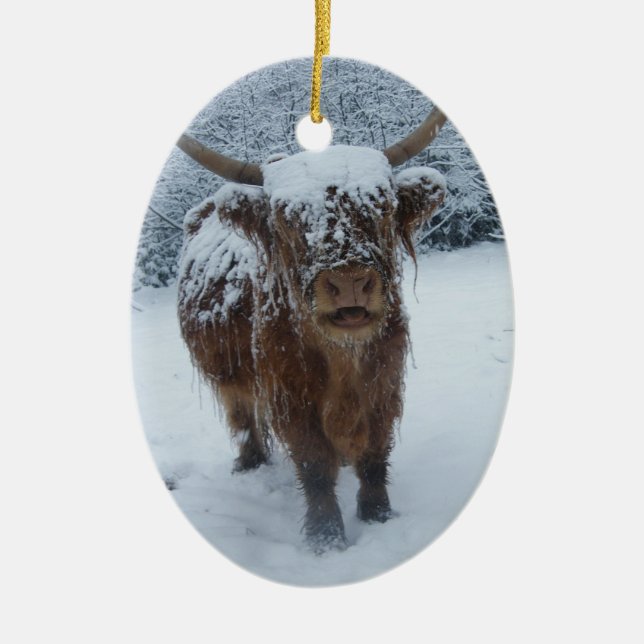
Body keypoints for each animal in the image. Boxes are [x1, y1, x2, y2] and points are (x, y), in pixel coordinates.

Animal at [176, 108, 447, 553]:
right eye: (287, 218)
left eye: (384, 206)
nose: (350, 281)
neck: (342, 357)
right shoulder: (290, 394)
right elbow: (314, 462)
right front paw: (326, 537)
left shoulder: (385, 380)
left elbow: (375, 452)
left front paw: (378, 515)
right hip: (229, 374)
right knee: (242, 414)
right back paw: (249, 462)